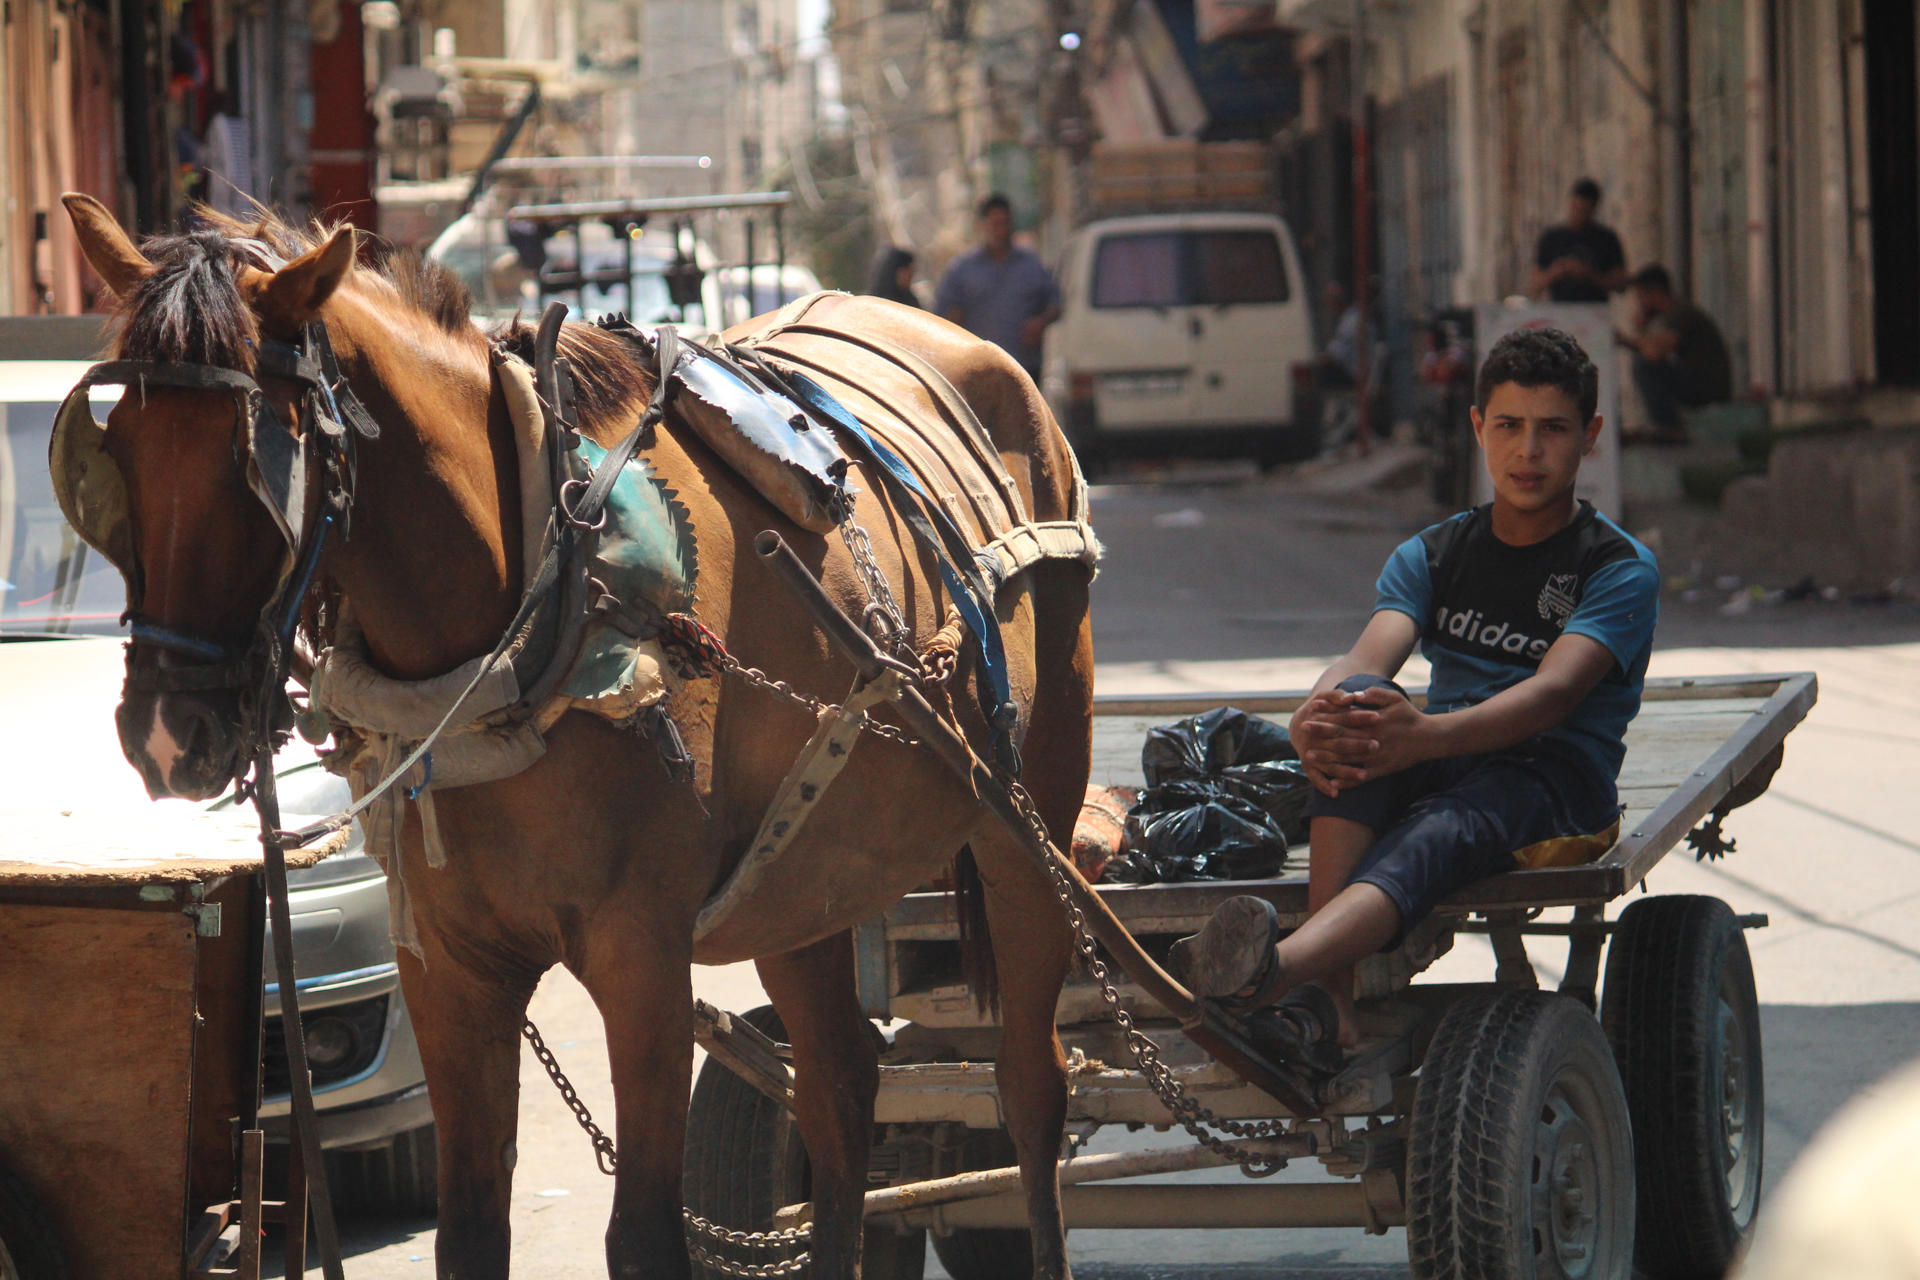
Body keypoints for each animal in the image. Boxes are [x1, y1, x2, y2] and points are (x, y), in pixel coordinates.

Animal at [63, 197, 1098, 1280]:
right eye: (115, 449)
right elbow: (471, 1230)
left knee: (1030, 1083)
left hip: (1026, 817)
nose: (170, 733)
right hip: (804, 876)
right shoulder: (449, 967)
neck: (533, 601)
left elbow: (643, 1234)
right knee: (840, 1088)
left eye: (258, 459)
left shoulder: (643, 957)